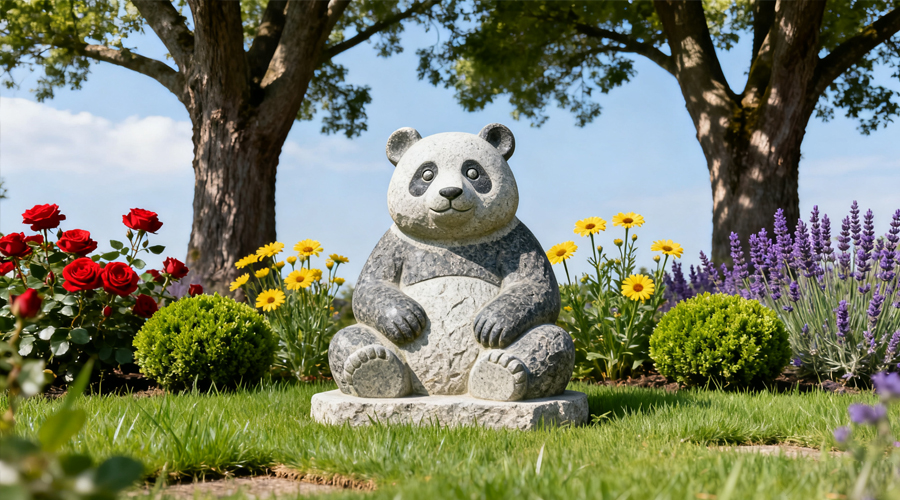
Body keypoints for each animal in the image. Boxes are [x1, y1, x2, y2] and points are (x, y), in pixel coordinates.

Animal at [328, 124, 575, 402]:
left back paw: (502, 371)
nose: (450, 192)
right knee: (345, 338)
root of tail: (444, 390)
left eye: (473, 172)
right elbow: (368, 289)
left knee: (553, 340)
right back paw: (373, 365)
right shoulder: (393, 245)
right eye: (426, 174)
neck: (452, 238)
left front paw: (492, 321)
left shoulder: (517, 240)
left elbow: (539, 288)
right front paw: (405, 318)